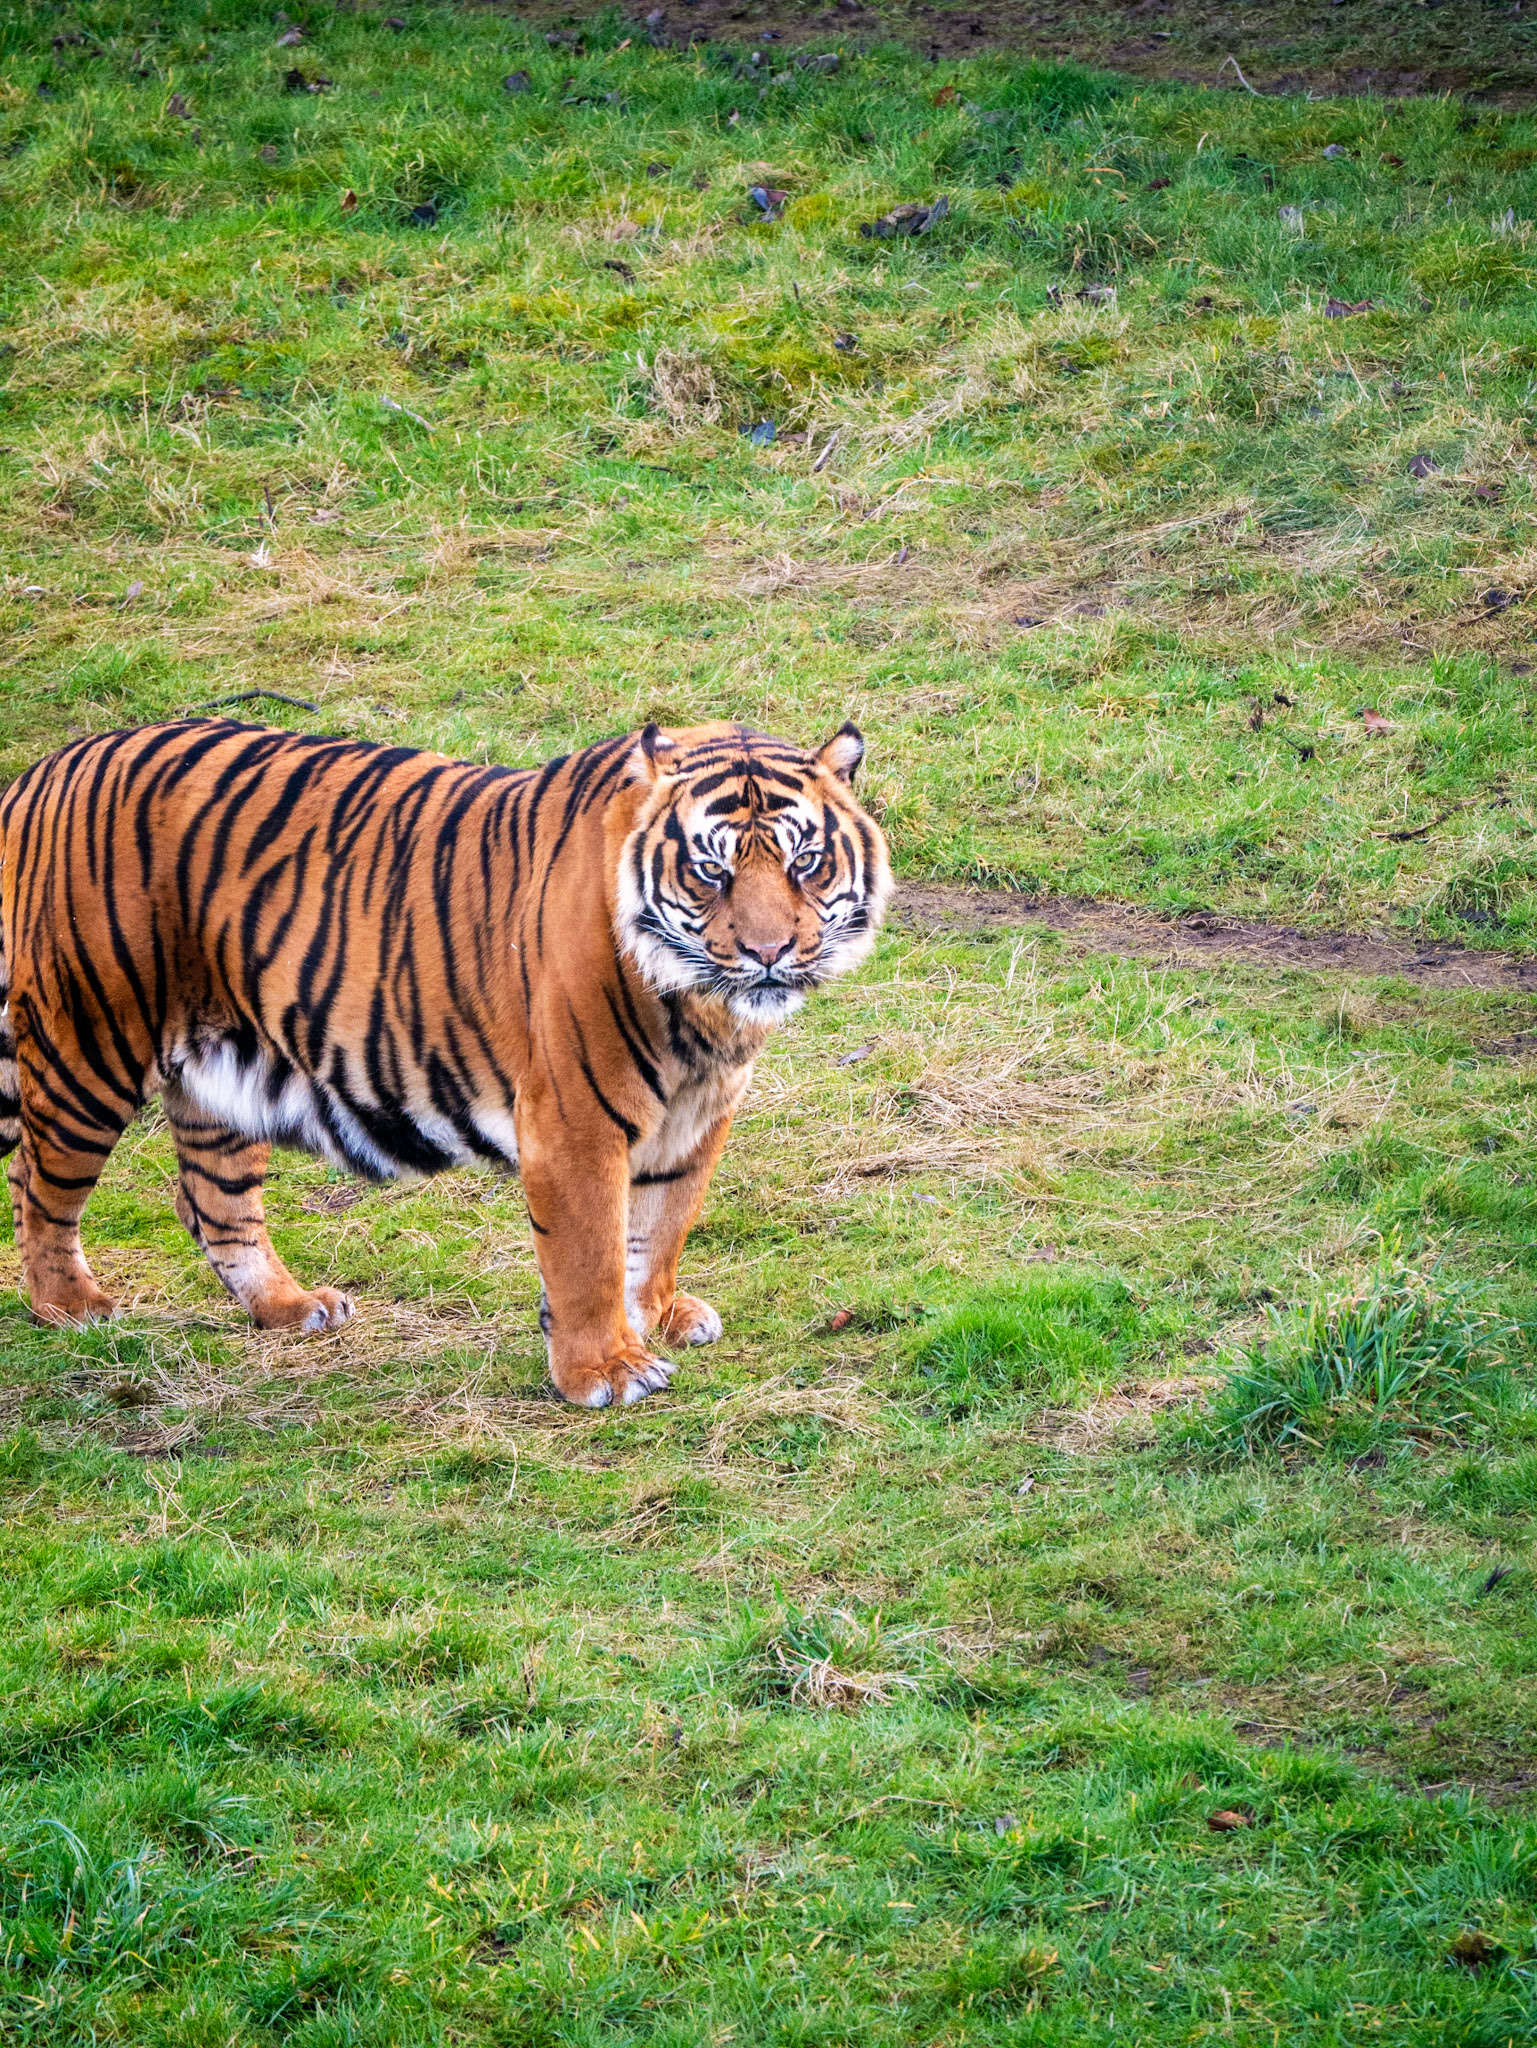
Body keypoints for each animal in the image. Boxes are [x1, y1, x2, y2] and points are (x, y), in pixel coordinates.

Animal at [0, 717, 891, 1406]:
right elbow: (591, 1252)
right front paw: (604, 1371)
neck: (702, 1012)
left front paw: (658, 1317)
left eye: (804, 862)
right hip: (89, 1045)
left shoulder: (699, 1116)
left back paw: (290, 1307)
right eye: (711, 870)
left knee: (209, 1201)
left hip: (222, 1070)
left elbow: (660, 1228)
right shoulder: (574, 1119)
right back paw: (72, 1306)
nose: (769, 953)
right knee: (40, 1185)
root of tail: (41, 771)